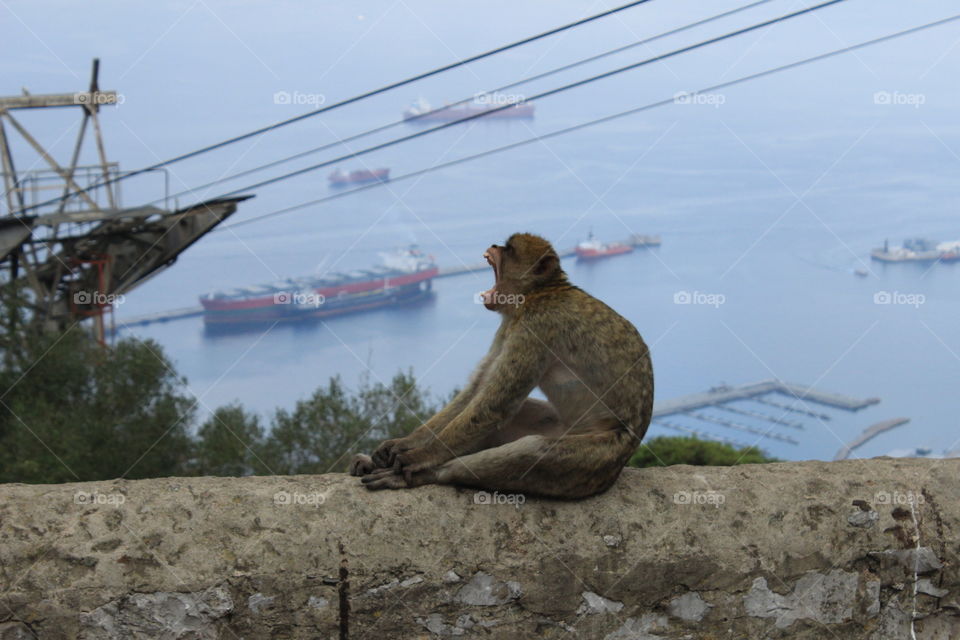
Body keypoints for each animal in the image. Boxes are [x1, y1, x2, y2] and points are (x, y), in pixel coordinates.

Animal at [348, 231, 656, 500]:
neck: (536, 293)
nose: (495, 245)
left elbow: (495, 404)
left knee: (533, 450)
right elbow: (478, 389)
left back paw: (427, 474)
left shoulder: (537, 325)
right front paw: (404, 442)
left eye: (509, 249)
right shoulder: (510, 325)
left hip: (596, 458)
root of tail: (620, 464)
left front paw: (420, 456)